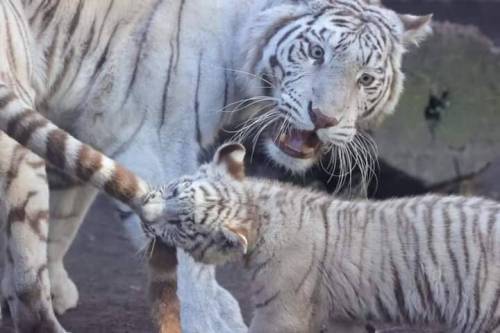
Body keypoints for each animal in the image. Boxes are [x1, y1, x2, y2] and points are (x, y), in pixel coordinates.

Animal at [0, 0, 430, 332]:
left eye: (366, 78)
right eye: (317, 53)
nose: (323, 117)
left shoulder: (84, 120)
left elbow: (65, 216)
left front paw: (57, 285)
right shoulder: (155, 142)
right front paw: (215, 318)